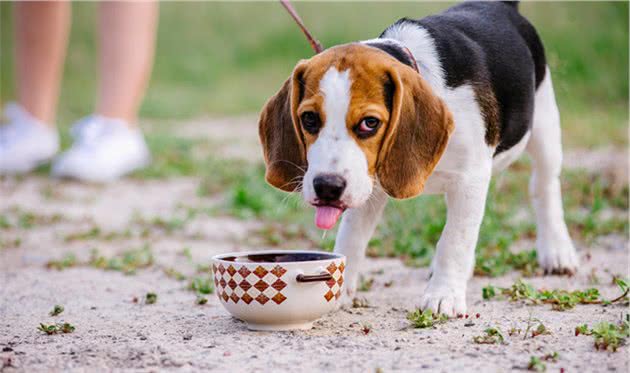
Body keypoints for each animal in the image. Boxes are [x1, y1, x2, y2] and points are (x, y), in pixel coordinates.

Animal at [258, 1, 576, 316]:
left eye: (370, 123)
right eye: (309, 119)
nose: (327, 187)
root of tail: (500, 5)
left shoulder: (470, 178)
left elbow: (455, 239)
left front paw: (444, 295)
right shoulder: (368, 183)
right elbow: (352, 236)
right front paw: (340, 288)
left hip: (544, 124)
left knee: (544, 186)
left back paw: (557, 250)